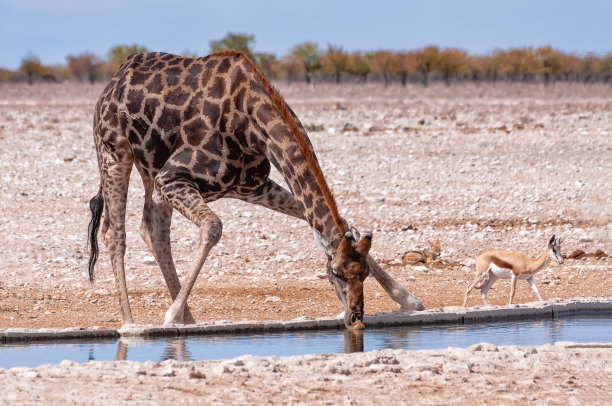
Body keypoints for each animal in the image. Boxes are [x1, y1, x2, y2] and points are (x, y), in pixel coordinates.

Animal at [87, 50, 426, 330]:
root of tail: (113, 81)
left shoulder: (252, 186)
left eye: (364, 273)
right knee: (115, 233)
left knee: (152, 230)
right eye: (337, 273)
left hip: (150, 167)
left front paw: (408, 299)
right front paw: (169, 315)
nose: (356, 319)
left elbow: (327, 221)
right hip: (115, 151)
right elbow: (213, 226)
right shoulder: (172, 177)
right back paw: (131, 323)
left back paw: (188, 319)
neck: (249, 124)